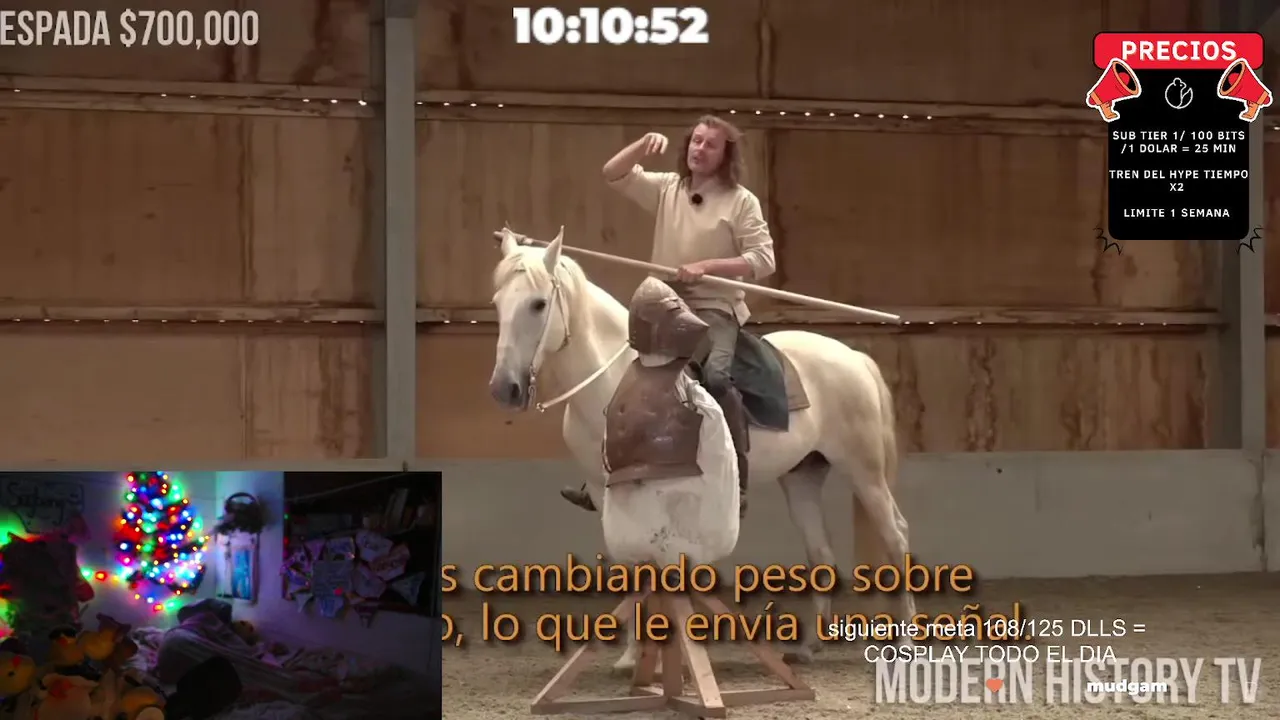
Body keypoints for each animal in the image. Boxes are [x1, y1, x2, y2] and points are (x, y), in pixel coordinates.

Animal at [486, 226, 915, 665]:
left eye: (538, 304)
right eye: (498, 303)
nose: (505, 388)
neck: (617, 381)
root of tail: (854, 358)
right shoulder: (609, 496)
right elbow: (630, 566)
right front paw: (631, 657)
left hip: (864, 472)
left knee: (895, 535)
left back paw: (905, 641)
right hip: (803, 476)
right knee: (821, 552)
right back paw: (809, 645)